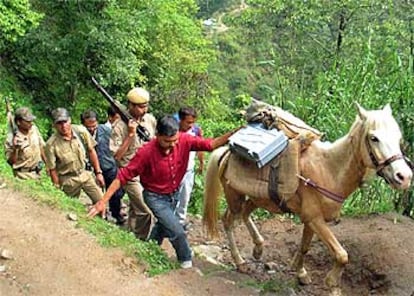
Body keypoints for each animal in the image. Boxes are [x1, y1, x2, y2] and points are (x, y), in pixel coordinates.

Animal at [202, 103, 412, 294]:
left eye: (398, 138)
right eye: (374, 138)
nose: (404, 177)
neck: (329, 170)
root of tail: (225, 152)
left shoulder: (311, 219)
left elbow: (304, 247)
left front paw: (300, 273)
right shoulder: (314, 218)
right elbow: (342, 255)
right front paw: (331, 283)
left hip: (257, 198)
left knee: (245, 214)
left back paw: (258, 248)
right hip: (234, 196)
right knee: (228, 220)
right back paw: (240, 262)